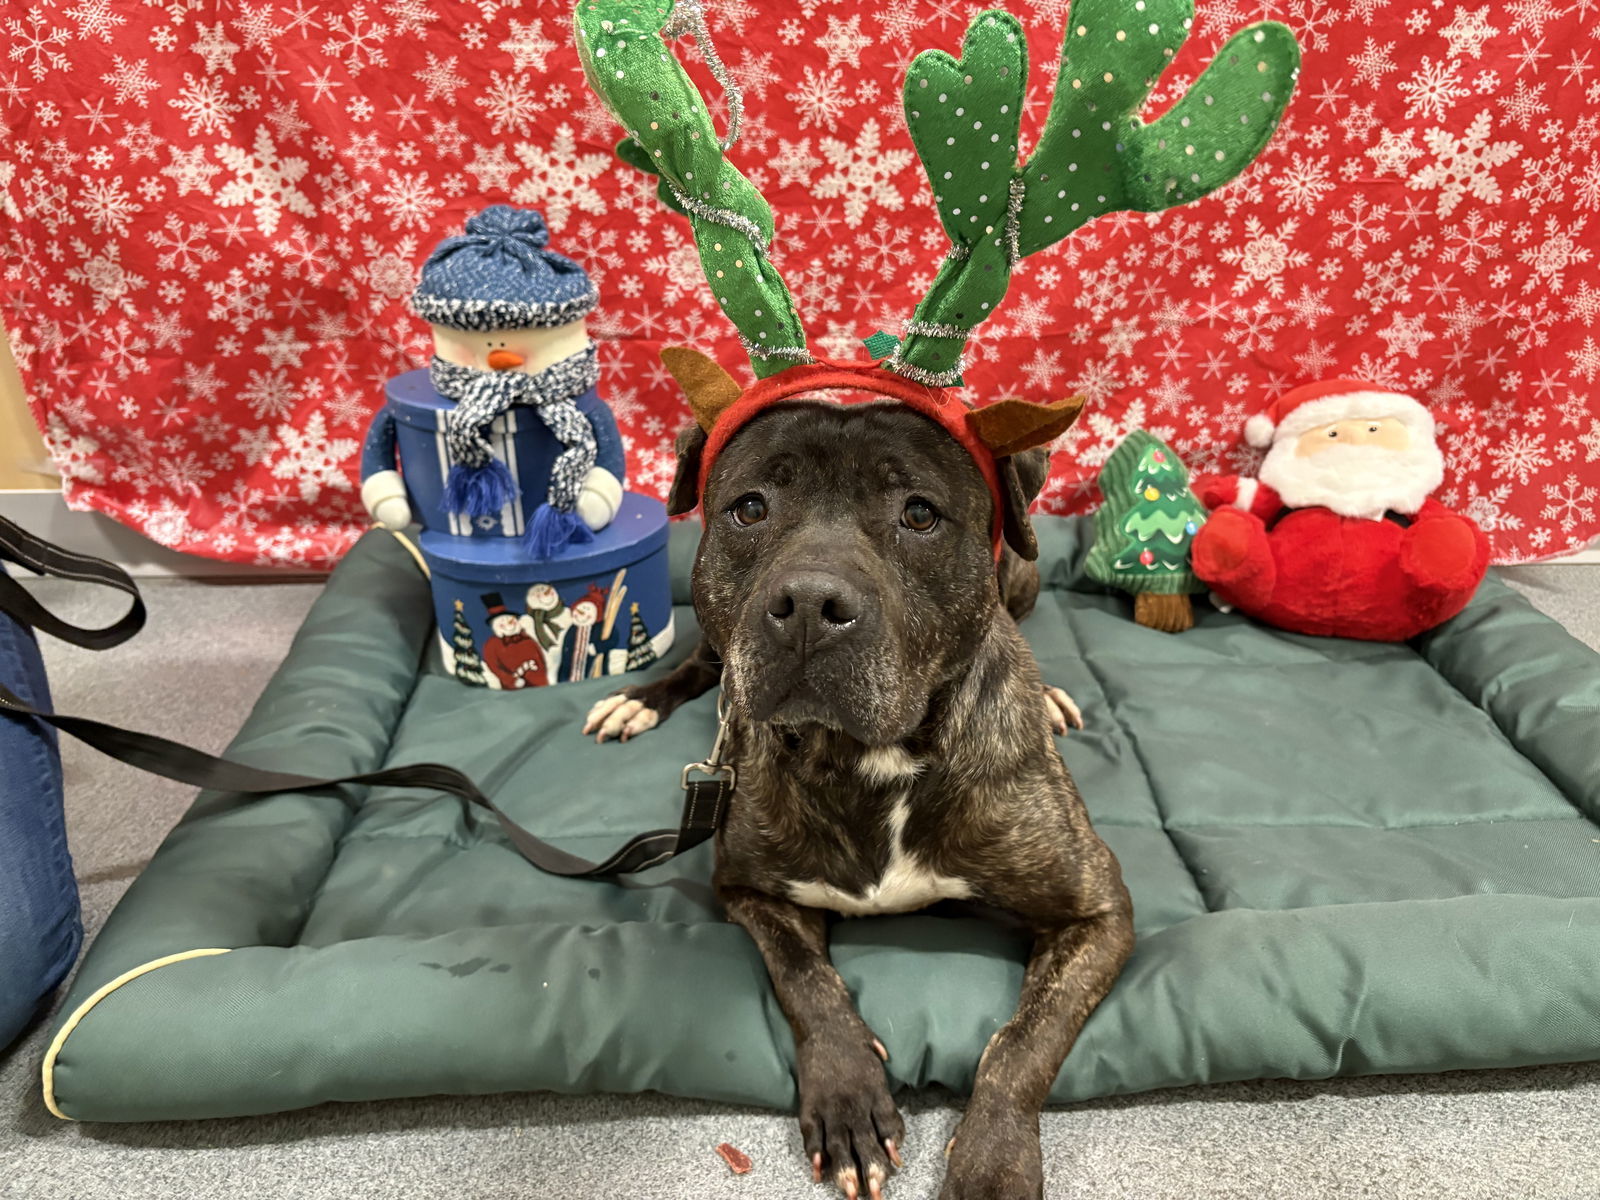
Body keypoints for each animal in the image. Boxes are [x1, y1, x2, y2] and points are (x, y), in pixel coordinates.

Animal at [585, 400, 1126, 1196]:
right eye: (751, 508)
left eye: (919, 514)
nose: (809, 603)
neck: (866, 756)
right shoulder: (748, 888)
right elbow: (807, 981)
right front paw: (847, 1101)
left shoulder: (1097, 908)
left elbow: (1023, 1042)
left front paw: (993, 1159)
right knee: (703, 662)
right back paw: (639, 699)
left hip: (1021, 574)